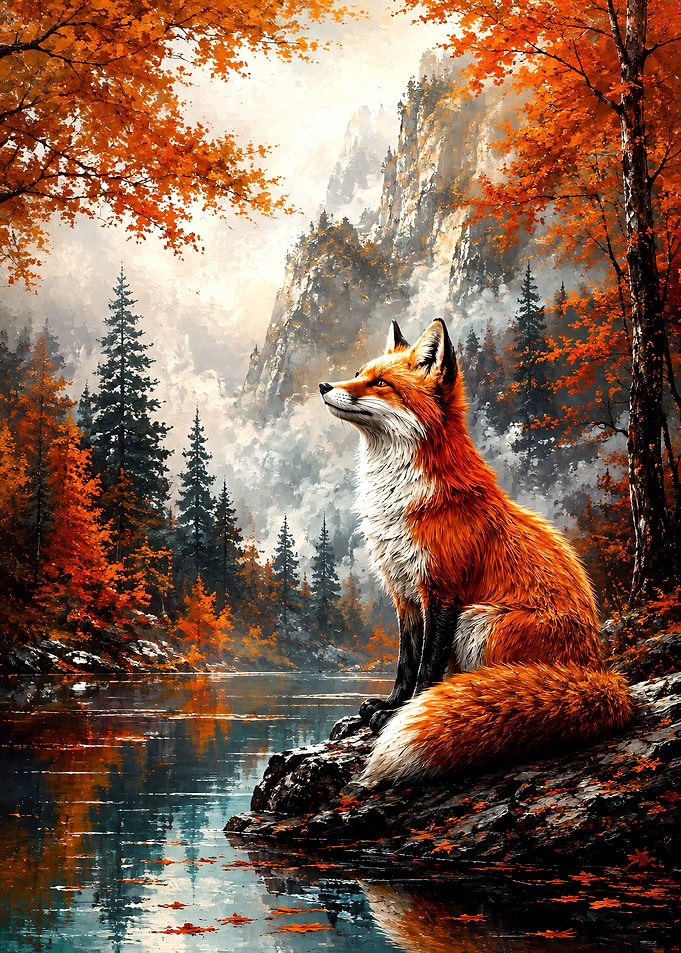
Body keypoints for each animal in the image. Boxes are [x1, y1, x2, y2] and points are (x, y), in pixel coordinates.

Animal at [319, 317, 633, 786]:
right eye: (359, 373)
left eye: (381, 383)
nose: (324, 385)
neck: (398, 500)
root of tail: (596, 670)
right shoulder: (404, 593)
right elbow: (405, 662)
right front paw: (390, 705)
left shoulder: (443, 592)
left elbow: (426, 667)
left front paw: (402, 713)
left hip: (480, 622)